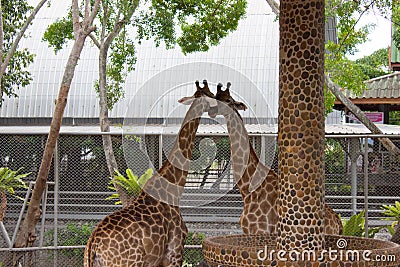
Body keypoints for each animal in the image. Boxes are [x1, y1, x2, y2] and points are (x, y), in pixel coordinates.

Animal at [83, 80, 217, 267]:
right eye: (211, 95)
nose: (217, 107)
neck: (174, 188)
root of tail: (93, 245)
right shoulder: (174, 253)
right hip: (129, 263)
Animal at [211, 82, 342, 237]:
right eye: (215, 97)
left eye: (228, 100)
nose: (212, 110)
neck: (248, 191)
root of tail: (338, 222)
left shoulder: (259, 232)